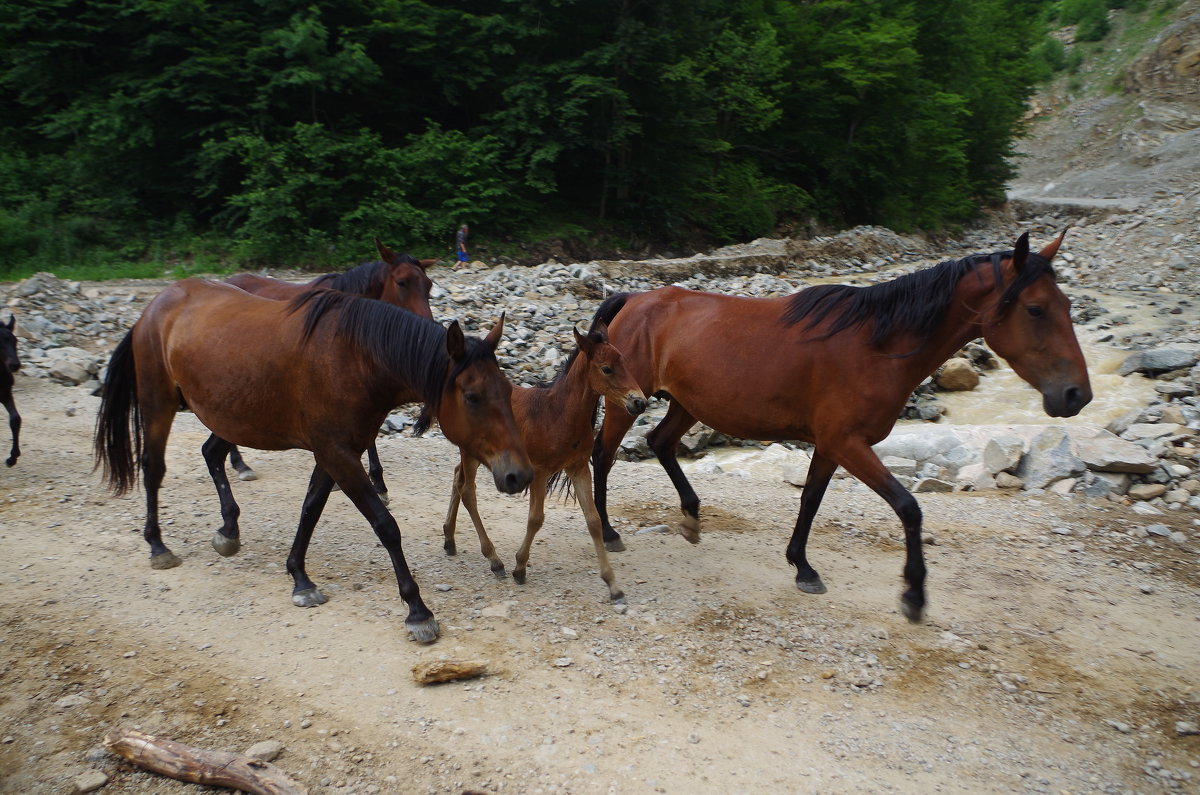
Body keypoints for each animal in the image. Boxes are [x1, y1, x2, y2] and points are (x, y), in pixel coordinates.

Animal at [96, 278, 537, 643]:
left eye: (507, 391)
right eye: (473, 396)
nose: (520, 475)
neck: (355, 358)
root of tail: (157, 304)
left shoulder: (336, 452)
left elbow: (310, 508)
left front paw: (299, 577)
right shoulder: (336, 453)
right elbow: (385, 525)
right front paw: (417, 610)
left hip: (230, 413)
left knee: (211, 454)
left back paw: (228, 531)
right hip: (159, 404)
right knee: (153, 469)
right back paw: (157, 545)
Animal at [441, 317, 648, 605]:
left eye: (626, 363)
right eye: (606, 369)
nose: (639, 402)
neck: (558, 413)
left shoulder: (578, 468)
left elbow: (593, 521)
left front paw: (613, 585)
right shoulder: (539, 471)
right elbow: (536, 519)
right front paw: (519, 568)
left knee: (456, 477)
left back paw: (449, 539)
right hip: (471, 452)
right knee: (466, 489)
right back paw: (494, 561)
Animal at [585, 230, 1094, 624]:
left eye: (1066, 304)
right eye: (1035, 309)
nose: (1077, 395)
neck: (876, 345)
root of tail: (634, 299)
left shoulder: (831, 445)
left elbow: (811, 500)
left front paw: (802, 566)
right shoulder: (848, 443)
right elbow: (909, 507)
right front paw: (913, 594)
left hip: (689, 405)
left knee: (659, 443)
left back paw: (691, 517)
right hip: (626, 404)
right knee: (603, 457)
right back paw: (609, 532)